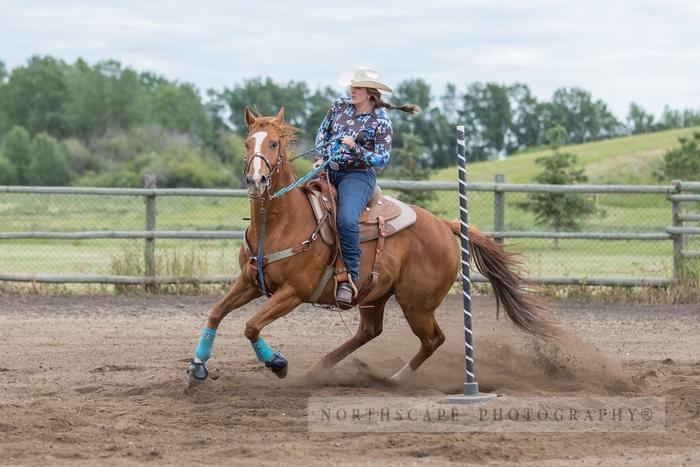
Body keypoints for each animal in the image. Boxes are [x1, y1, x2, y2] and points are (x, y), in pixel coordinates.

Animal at [189, 108, 548, 386]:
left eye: (274, 142)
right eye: (247, 142)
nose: (256, 180)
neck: (280, 223)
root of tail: (445, 226)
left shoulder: (293, 291)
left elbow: (251, 326)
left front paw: (277, 363)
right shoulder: (249, 281)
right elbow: (216, 313)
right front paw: (197, 368)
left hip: (417, 304)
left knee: (432, 339)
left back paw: (395, 380)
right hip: (375, 294)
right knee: (369, 331)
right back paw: (320, 370)